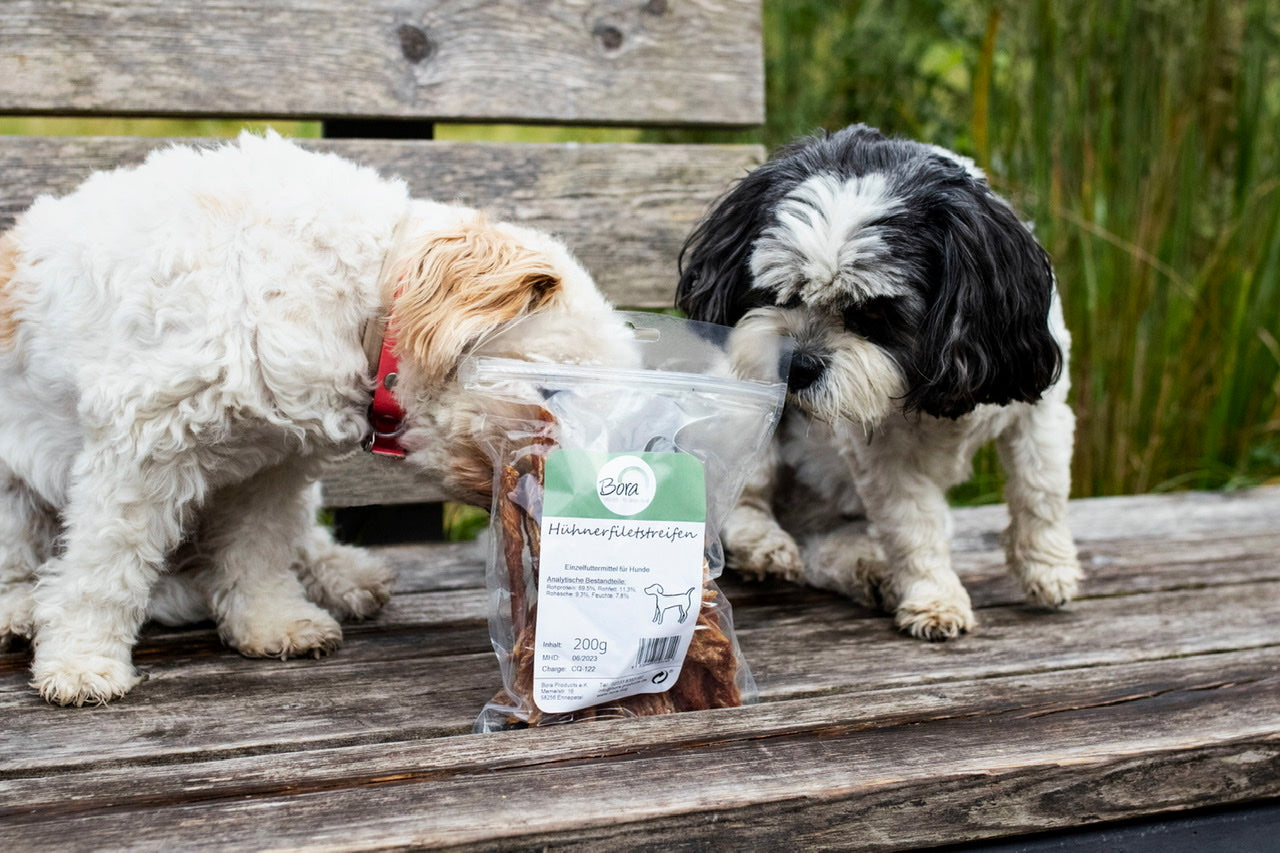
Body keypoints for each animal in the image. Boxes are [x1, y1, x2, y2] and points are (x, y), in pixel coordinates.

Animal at [680, 124, 1080, 637]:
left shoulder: (1039, 410)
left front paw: (1049, 569)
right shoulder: (886, 456)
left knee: (821, 547)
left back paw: (866, 570)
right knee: (738, 504)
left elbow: (1040, 493)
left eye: (873, 314)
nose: (798, 364)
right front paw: (935, 599)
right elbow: (913, 527)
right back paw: (767, 548)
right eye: (779, 294)